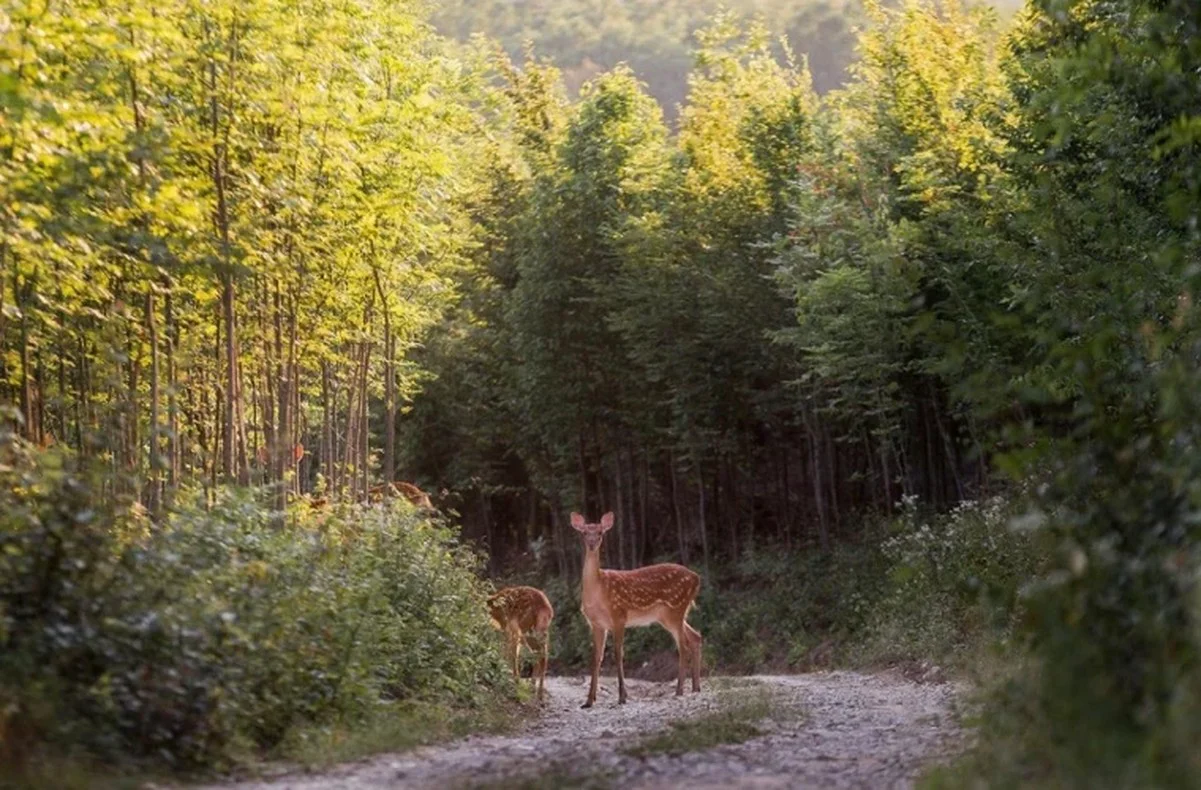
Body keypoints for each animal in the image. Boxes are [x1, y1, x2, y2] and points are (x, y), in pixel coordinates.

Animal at [574, 511, 701, 705]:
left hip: (676, 608)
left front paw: (622, 697)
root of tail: (696, 578)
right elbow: (596, 657)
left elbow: (618, 654)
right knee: (695, 637)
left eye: (600, 533)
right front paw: (589, 701)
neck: (598, 591)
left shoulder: (619, 614)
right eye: (584, 533)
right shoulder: (596, 623)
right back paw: (695, 688)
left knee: (683, 646)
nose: (592, 544)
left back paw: (679, 690)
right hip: (669, 615)